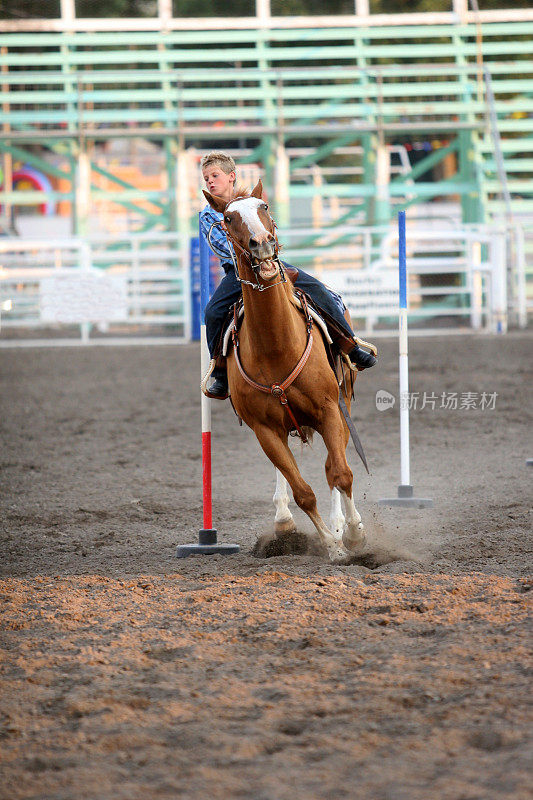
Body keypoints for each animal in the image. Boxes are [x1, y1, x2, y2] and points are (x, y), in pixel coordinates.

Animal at [203, 180, 366, 564]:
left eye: (264, 206)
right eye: (227, 218)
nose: (261, 244)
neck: (277, 345)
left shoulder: (329, 410)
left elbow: (341, 473)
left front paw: (351, 535)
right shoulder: (264, 428)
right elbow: (302, 490)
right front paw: (331, 546)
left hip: (343, 405)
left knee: (333, 467)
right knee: (290, 472)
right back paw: (284, 521)